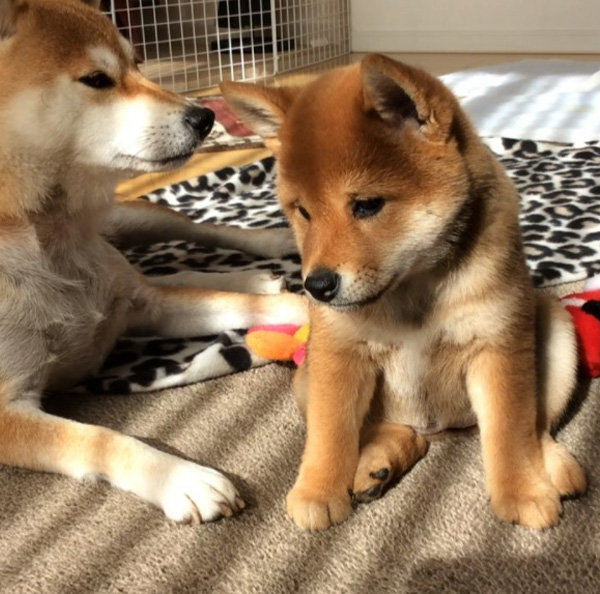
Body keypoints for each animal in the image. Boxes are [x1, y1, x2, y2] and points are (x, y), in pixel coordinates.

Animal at [0, 0, 308, 520]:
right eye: (97, 79)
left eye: (138, 62)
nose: (205, 116)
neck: (49, 230)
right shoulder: (6, 411)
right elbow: (100, 440)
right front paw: (181, 478)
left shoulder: (149, 308)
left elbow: (241, 303)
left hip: (130, 218)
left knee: (192, 237)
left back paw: (273, 249)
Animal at [223, 54, 588, 528]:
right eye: (302, 212)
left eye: (367, 205)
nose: (315, 286)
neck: (412, 290)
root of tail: (437, 428)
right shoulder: (338, 354)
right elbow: (330, 432)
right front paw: (318, 490)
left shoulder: (498, 345)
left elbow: (511, 431)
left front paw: (522, 491)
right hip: (306, 378)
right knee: (389, 430)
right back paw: (378, 463)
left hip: (556, 332)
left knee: (538, 427)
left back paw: (556, 466)